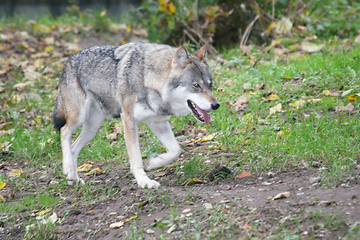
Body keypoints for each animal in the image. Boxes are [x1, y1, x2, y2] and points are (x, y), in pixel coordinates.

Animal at [52, 43, 219, 189]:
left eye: (210, 85)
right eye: (196, 85)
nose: (216, 105)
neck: (148, 79)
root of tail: (68, 60)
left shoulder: (158, 123)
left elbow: (175, 150)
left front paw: (155, 162)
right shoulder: (128, 119)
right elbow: (136, 157)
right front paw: (144, 181)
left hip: (92, 129)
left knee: (74, 147)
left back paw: (72, 177)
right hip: (78, 117)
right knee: (64, 131)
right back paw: (69, 170)